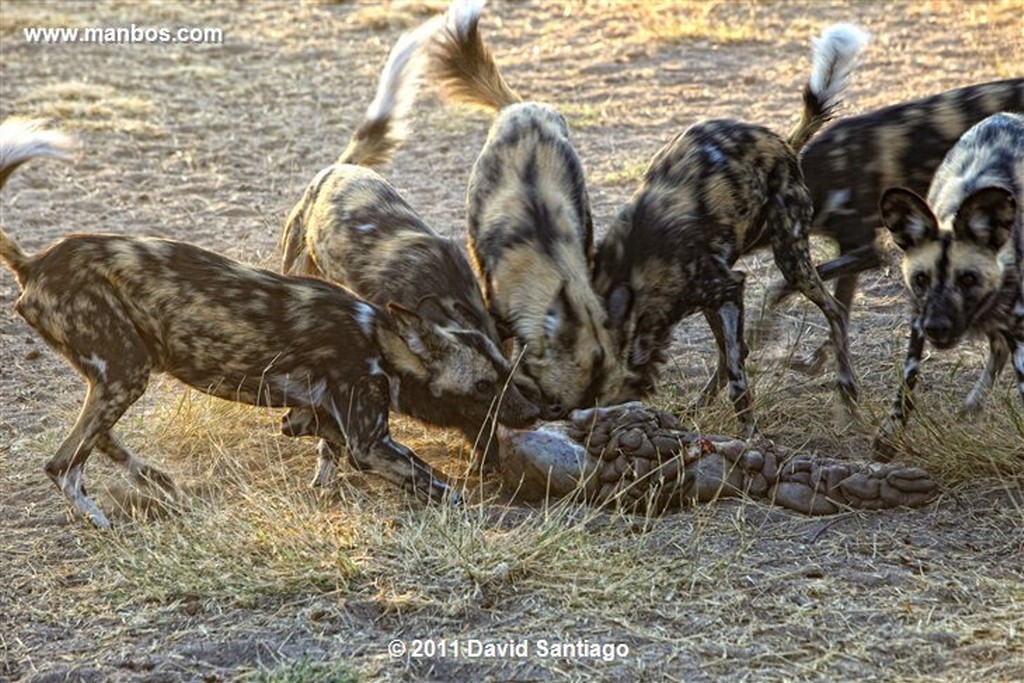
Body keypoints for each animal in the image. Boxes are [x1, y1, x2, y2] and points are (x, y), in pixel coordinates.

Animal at [1, 120, 468, 532]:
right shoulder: (368, 441)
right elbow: (433, 480)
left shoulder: (312, 418)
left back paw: (155, 481)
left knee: (96, 439)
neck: (380, 337)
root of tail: (35, 263)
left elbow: (331, 447)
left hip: (117, 377)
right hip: (125, 372)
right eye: (483, 386)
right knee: (62, 464)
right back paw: (100, 517)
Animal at [872, 113, 1024, 458]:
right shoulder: (917, 317)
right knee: (997, 349)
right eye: (921, 279)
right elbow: (909, 377)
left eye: (968, 279)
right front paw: (890, 433)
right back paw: (971, 406)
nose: (937, 327)